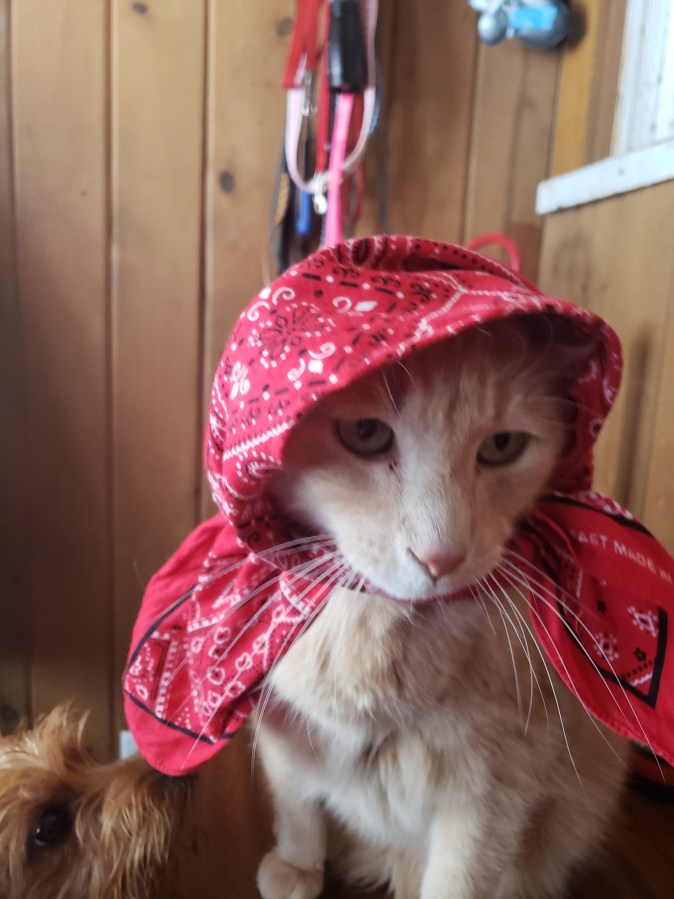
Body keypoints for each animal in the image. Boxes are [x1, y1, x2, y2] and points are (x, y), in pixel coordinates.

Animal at [253, 318, 628, 899]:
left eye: (502, 445)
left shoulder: (495, 791)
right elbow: (296, 806)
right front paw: (298, 866)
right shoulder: (282, 723)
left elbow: (460, 877)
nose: (439, 558)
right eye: (365, 434)